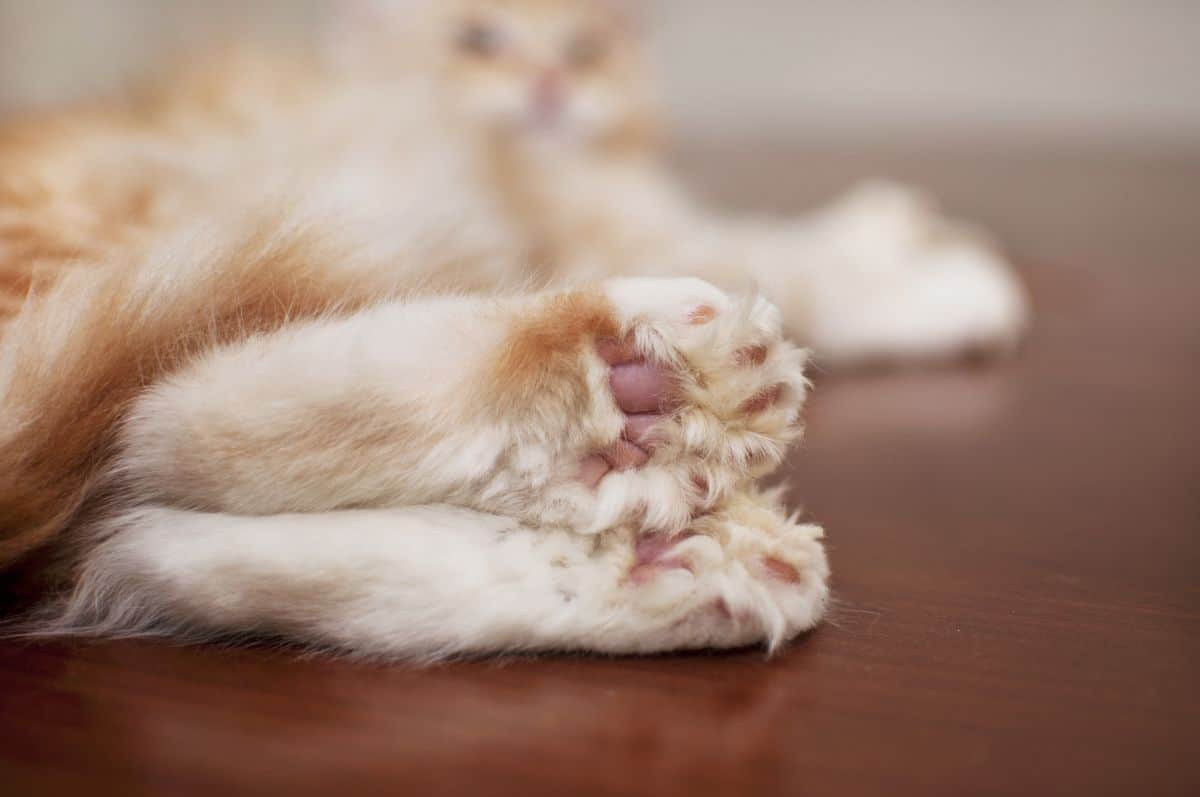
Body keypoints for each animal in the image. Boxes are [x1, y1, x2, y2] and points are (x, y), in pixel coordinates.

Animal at [0, 1, 1032, 657]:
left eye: (582, 49)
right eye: (478, 39)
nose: (546, 84)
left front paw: (893, 220)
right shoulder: (597, 219)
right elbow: (791, 256)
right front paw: (944, 280)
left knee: (139, 528)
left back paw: (675, 553)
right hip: (179, 255)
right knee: (175, 414)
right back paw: (648, 389)